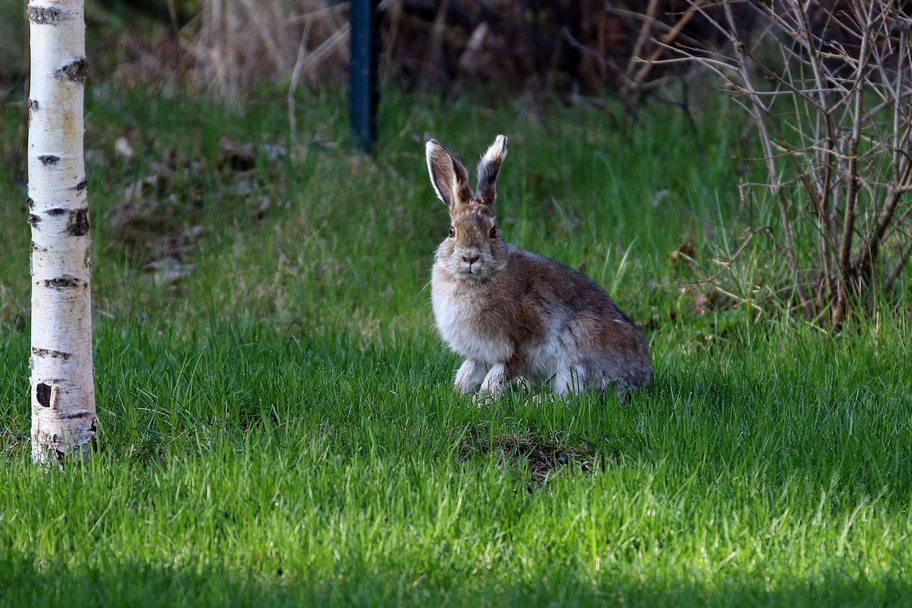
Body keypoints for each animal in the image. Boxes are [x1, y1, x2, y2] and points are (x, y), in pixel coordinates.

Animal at [426, 134, 652, 399]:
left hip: (577, 350)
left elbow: (495, 379)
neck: (476, 280)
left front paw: (481, 402)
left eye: (493, 232)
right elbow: (467, 372)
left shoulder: (515, 348)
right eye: (452, 231)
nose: (470, 257)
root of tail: (643, 377)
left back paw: (534, 401)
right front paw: (457, 394)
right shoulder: (478, 355)